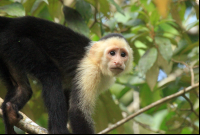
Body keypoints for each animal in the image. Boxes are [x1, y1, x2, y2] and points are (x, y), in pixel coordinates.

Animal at [0, 16, 133, 134]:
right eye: (112, 53)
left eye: (123, 54)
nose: (118, 62)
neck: (97, 61)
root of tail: (12, 22)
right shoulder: (90, 71)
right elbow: (77, 111)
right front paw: (56, 129)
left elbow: (67, 95)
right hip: (16, 42)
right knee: (50, 75)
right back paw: (58, 130)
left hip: (7, 47)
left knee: (22, 88)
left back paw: (9, 111)